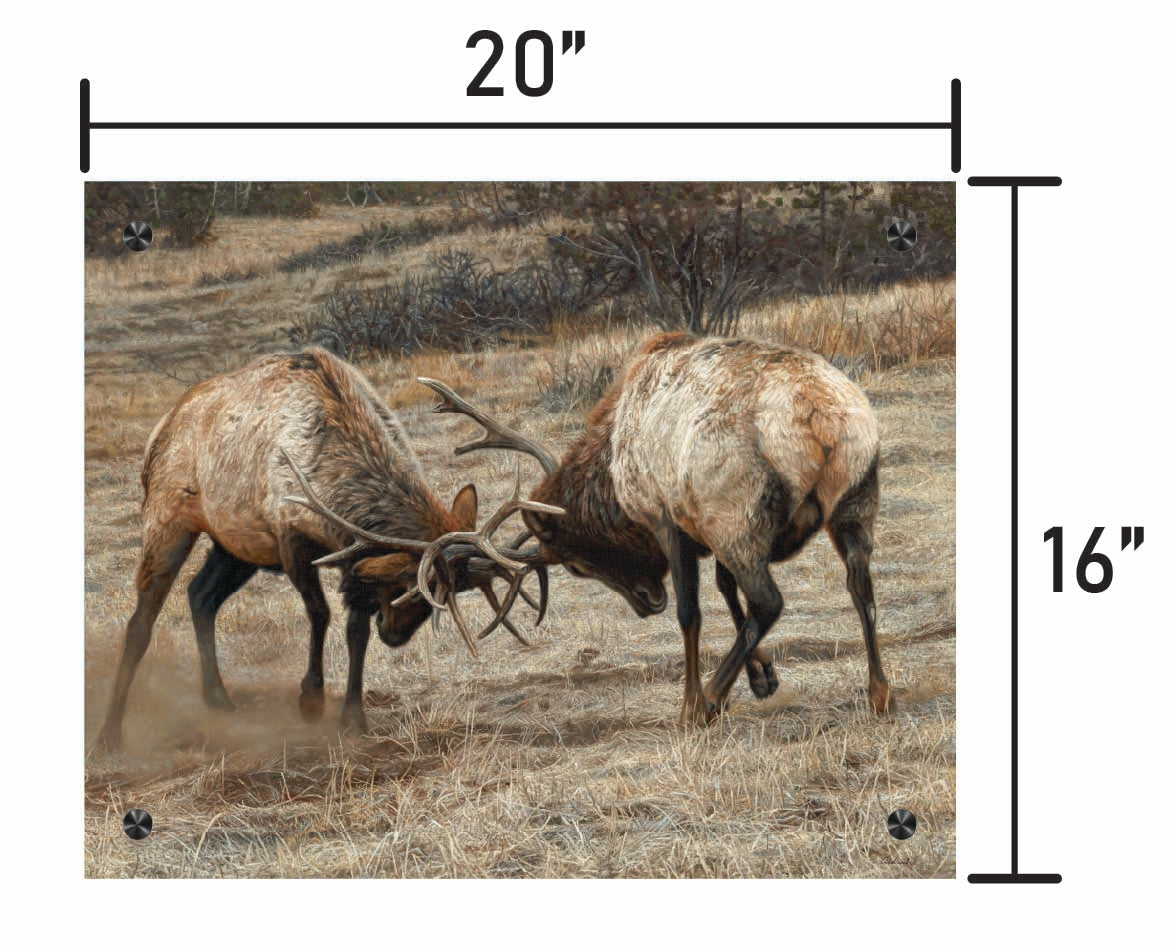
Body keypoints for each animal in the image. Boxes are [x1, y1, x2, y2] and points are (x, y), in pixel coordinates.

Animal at [97, 348, 558, 751]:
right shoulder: (291, 538)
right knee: (141, 621)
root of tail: (162, 426)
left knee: (200, 595)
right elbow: (320, 613)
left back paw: (219, 700)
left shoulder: (350, 557)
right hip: (167, 517)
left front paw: (353, 716)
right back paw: (110, 734)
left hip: (236, 547)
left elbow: (355, 631)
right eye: (410, 586)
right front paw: (311, 699)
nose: (396, 635)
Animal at [416, 331, 891, 727]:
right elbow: (725, 590)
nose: (648, 602)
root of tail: (822, 419)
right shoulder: (703, 526)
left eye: (574, 564)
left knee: (769, 601)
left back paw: (708, 700)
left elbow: (691, 613)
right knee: (860, 586)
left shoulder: (670, 520)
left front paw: (693, 701)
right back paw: (879, 692)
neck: (612, 468)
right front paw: (762, 678)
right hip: (855, 502)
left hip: (738, 513)